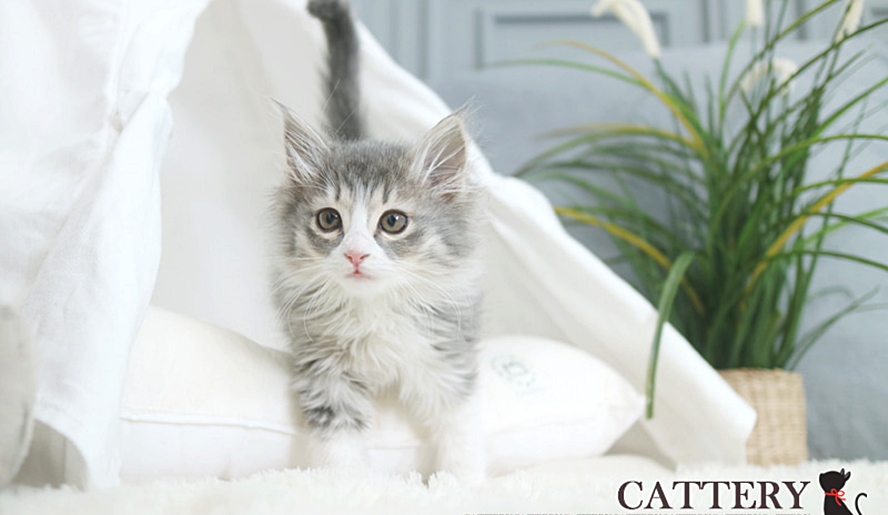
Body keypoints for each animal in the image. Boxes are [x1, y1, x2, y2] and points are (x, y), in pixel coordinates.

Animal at [269, 0, 486, 484]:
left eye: (393, 222)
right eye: (329, 220)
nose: (355, 253)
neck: (375, 313)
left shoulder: (446, 359)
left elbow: (460, 435)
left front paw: (460, 485)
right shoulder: (324, 371)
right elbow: (340, 446)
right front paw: (349, 486)